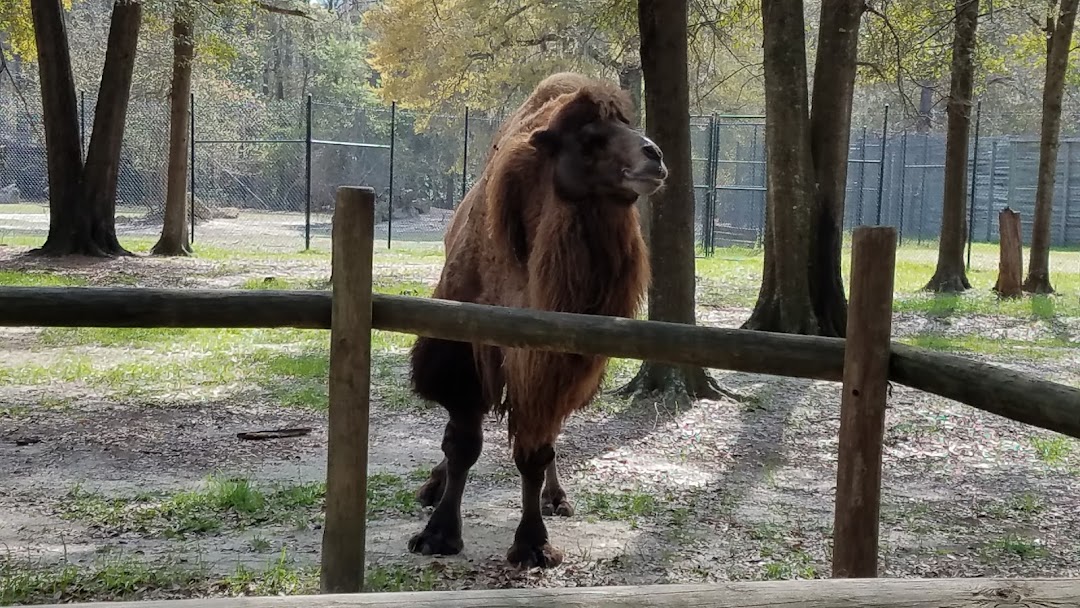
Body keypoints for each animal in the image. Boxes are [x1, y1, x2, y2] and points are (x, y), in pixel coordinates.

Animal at [406, 72, 660, 570]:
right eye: (590, 137)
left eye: (627, 125)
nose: (654, 156)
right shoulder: (460, 356)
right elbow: (462, 443)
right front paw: (437, 534)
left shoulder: (551, 365)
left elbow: (535, 450)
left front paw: (533, 544)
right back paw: (432, 486)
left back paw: (556, 497)